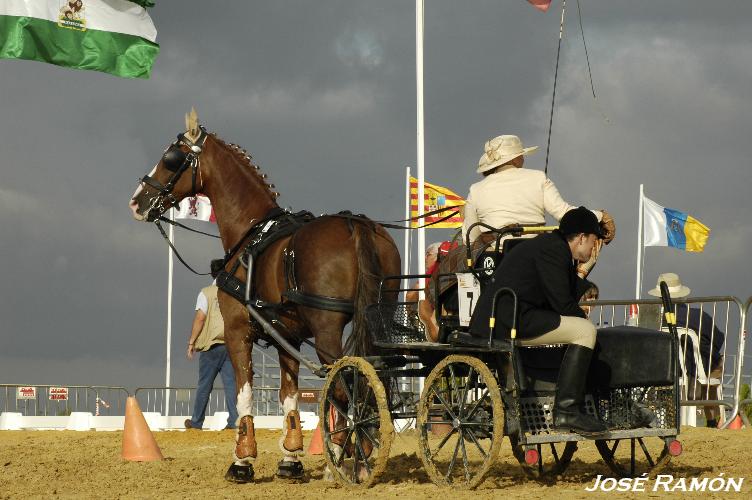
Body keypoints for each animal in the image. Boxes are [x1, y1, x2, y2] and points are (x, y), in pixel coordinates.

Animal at [131, 111, 400, 482]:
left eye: (171, 157)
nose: (137, 201)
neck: (251, 235)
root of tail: (356, 225)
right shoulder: (288, 338)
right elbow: (288, 398)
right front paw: (290, 459)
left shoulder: (237, 332)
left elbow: (244, 394)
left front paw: (241, 461)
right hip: (377, 320)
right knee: (373, 384)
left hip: (328, 332)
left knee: (345, 386)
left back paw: (345, 459)